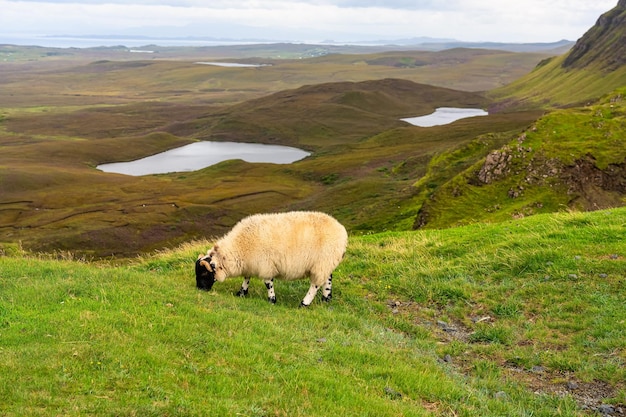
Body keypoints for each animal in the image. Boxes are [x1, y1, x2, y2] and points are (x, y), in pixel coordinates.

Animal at [195, 211, 346, 306]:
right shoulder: (251, 263)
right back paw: (326, 299)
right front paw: (242, 293)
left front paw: (272, 300)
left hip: (322, 262)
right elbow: (247, 278)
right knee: (328, 279)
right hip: (326, 262)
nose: (199, 289)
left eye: (204, 273)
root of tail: (342, 230)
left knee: (315, 285)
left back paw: (304, 303)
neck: (240, 246)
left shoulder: (265, 265)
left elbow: (268, 284)